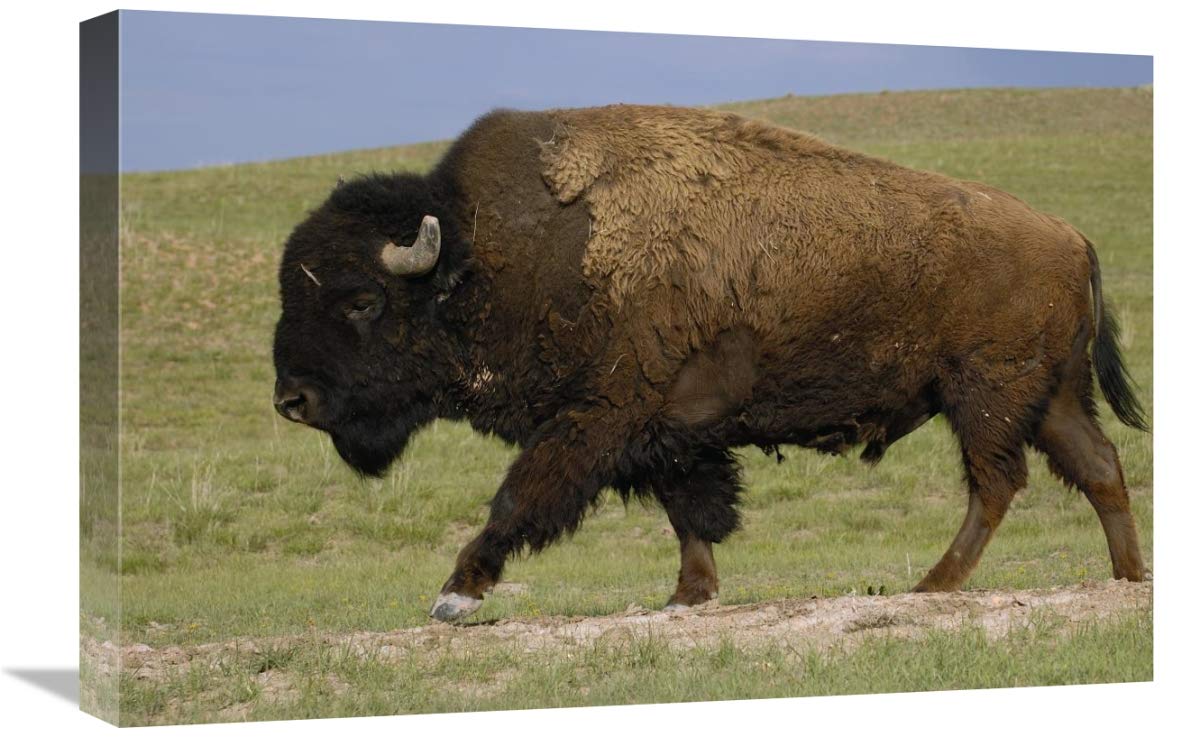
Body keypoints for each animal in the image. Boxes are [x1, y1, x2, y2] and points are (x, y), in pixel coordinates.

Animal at [272, 105, 1148, 622]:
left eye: (361, 300)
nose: (292, 399)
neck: (486, 249)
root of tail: (1071, 237)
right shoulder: (667, 429)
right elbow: (689, 509)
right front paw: (688, 593)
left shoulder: (596, 418)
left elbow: (521, 494)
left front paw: (455, 592)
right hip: (1048, 397)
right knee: (1097, 466)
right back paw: (1126, 577)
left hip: (986, 394)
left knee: (998, 482)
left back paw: (936, 584)